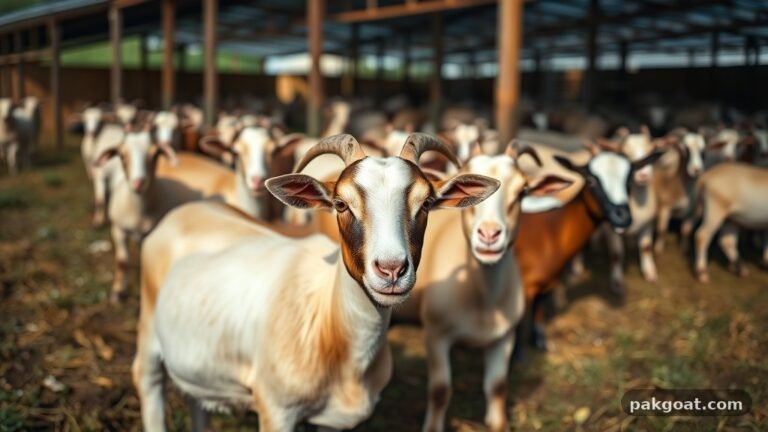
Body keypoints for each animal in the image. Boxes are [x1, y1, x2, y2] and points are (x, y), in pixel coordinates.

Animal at [132, 133, 500, 431]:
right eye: (340, 204)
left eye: (426, 203)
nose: (392, 270)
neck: (330, 322)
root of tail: (187, 211)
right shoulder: (276, 410)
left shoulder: (332, 422)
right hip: (149, 333)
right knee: (146, 379)